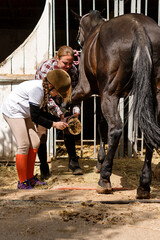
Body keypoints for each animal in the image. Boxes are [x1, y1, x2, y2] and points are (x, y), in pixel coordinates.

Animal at [71, 9, 160, 199]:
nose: (78, 40)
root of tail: (138, 27)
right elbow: (101, 123)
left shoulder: (87, 89)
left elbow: (100, 123)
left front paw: (100, 162)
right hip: (155, 94)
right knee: (150, 134)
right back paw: (144, 186)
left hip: (109, 94)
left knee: (115, 129)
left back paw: (104, 180)